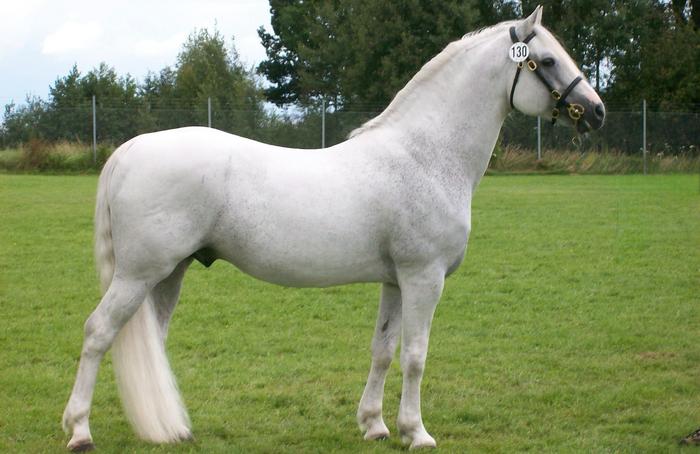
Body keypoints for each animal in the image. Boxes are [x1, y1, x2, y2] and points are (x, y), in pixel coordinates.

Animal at [63, 7, 604, 450]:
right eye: (547, 60)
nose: (596, 111)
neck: (426, 155)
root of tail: (132, 149)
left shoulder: (395, 280)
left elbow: (383, 350)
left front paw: (375, 425)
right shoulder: (423, 277)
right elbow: (415, 355)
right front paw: (417, 432)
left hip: (169, 273)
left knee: (148, 340)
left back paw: (165, 426)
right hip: (138, 274)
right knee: (97, 332)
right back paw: (80, 430)